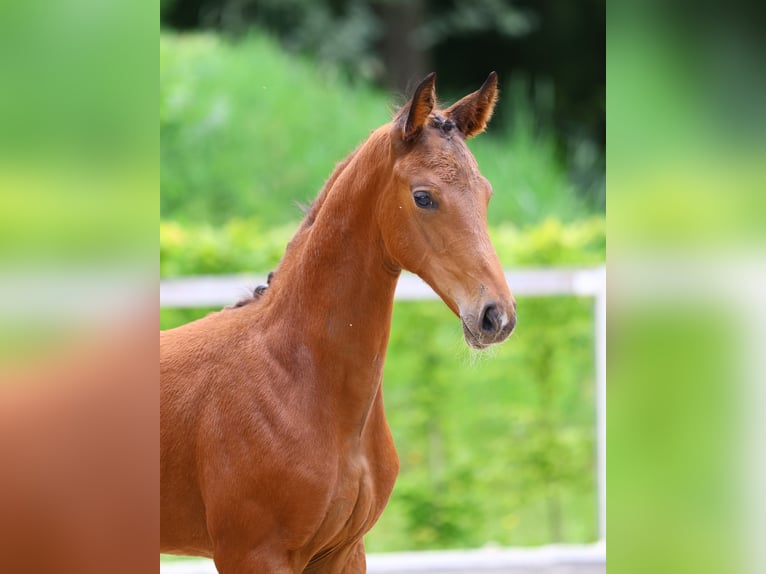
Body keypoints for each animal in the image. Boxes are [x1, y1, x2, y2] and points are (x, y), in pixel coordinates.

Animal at [163, 74, 520, 572]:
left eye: (485, 194)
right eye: (423, 196)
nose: (496, 316)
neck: (295, 376)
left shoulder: (344, 551)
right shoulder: (251, 553)